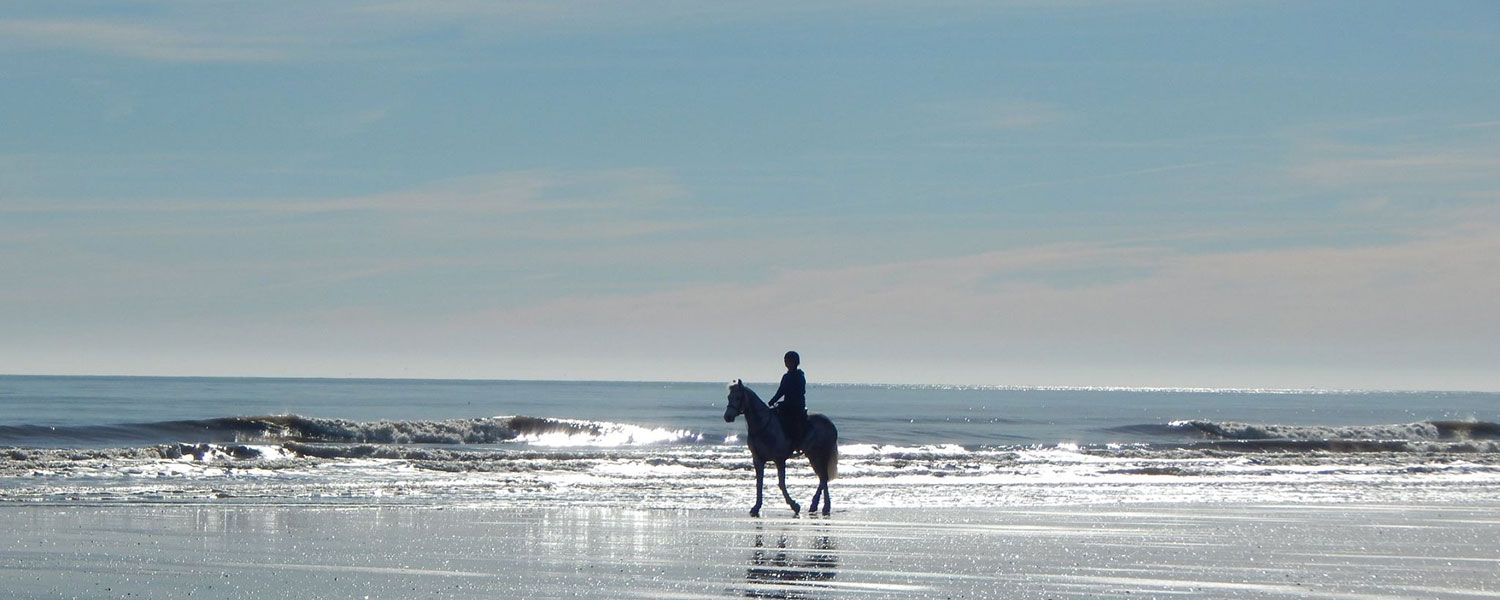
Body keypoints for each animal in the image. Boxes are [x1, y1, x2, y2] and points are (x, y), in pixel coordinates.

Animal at [724, 379, 839, 517]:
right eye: (729, 397)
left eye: (738, 397)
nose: (727, 417)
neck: (763, 425)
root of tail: (830, 423)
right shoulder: (758, 460)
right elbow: (759, 483)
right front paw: (756, 507)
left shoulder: (779, 460)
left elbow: (781, 484)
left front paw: (794, 506)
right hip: (812, 455)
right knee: (822, 478)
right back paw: (816, 506)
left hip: (821, 455)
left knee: (824, 478)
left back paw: (824, 506)